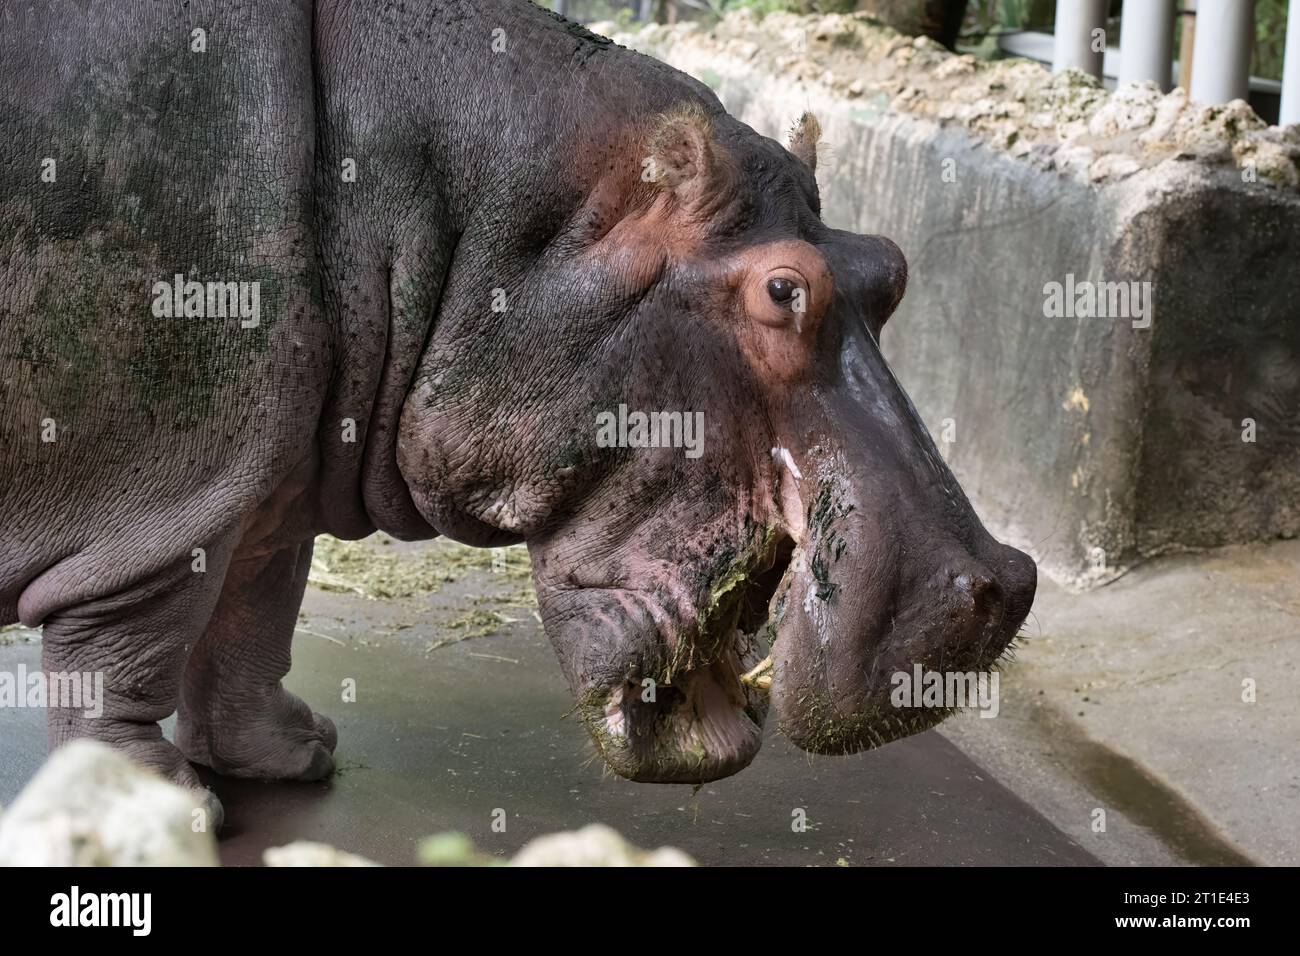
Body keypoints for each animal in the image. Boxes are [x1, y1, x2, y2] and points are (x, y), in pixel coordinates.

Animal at [0, 0, 1036, 825]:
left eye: (890, 267)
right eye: (784, 290)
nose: (998, 588)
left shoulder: (275, 479)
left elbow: (258, 613)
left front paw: (297, 754)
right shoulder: (166, 501)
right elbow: (133, 649)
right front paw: (163, 809)